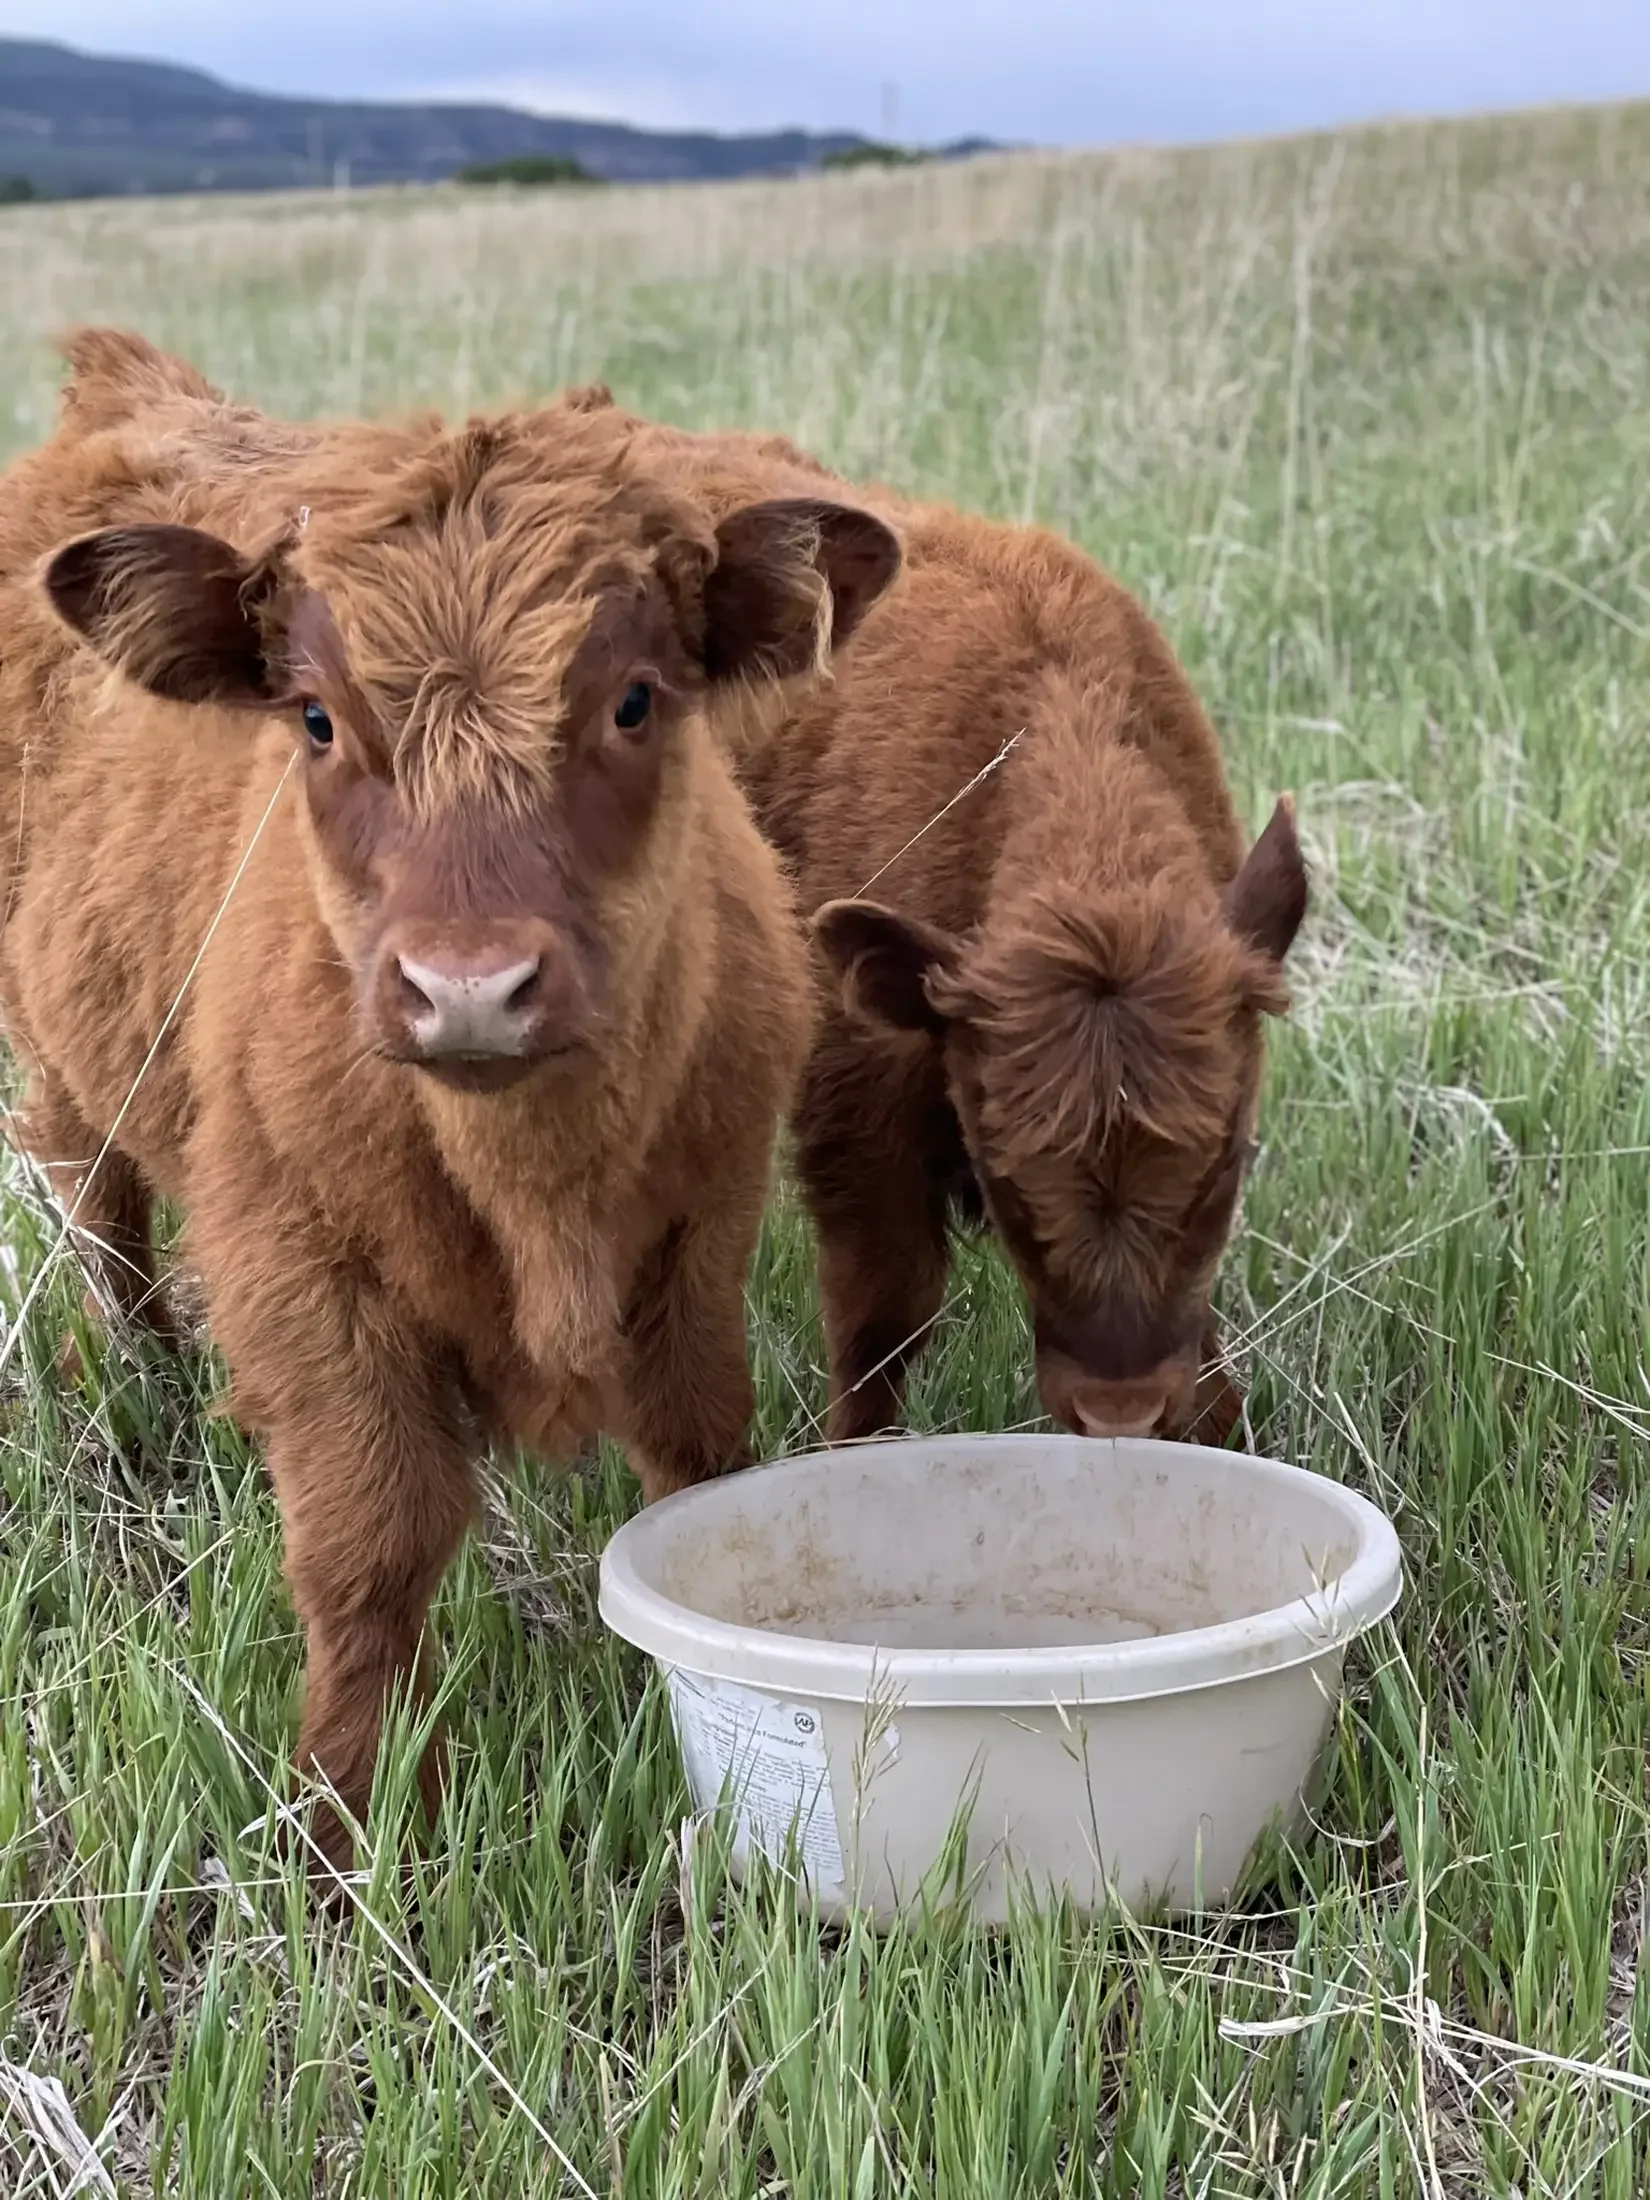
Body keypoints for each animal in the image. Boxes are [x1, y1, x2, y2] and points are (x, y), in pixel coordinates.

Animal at [0, 330, 900, 1866]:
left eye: (633, 699)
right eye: (315, 718)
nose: (468, 986)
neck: (537, 1184)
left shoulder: (699, 1238)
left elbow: (696, 1465)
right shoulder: (304, 1275)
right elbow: (369, 1553)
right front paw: (347, 1822)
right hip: (63, 1077)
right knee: (105, 1232)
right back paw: (149, 1389)